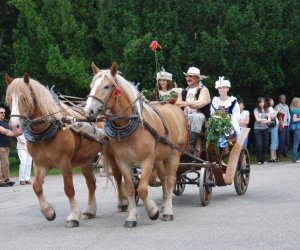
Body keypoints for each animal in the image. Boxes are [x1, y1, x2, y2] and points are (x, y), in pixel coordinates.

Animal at [4, 73, 126, 228]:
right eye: (8, 99)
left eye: (24, 98)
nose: (14, 126)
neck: (46, 129)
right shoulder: (39, 164)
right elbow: (37, 187)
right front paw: (48, 212)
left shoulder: (64, 163)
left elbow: (68, 189)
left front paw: (73, 216)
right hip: (84, 160)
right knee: (91, 184)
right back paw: (90, 210)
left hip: (111, 153)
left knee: (117, 176)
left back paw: (122, 203)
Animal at [84, 63, 188, 229]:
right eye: (91, 85)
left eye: (106, 86)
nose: (88, 111)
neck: (130, 124)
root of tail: (174, 106)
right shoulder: (123, 162)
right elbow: (130, 188)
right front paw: (132, 217)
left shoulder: (146, 161)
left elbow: (143, 189)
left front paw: (153, 211)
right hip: (159, 158)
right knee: (163, 179)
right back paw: (165, 204)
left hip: (174, 154)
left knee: (171, 180)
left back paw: (168, 211)